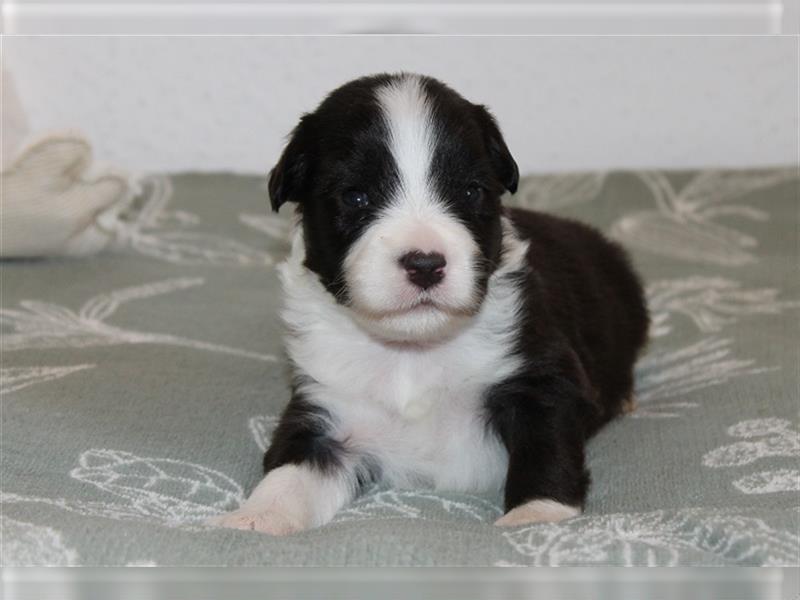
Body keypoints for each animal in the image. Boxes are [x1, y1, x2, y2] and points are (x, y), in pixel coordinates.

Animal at [212, 71, 648, 536]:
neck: (413, 352)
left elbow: (546, 450)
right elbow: (290, 469)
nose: (425, 264)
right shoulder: (326, 406)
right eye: (356, 197)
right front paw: (255, 520)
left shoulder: (542, 378)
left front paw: (534, 519)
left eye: (471, 192)